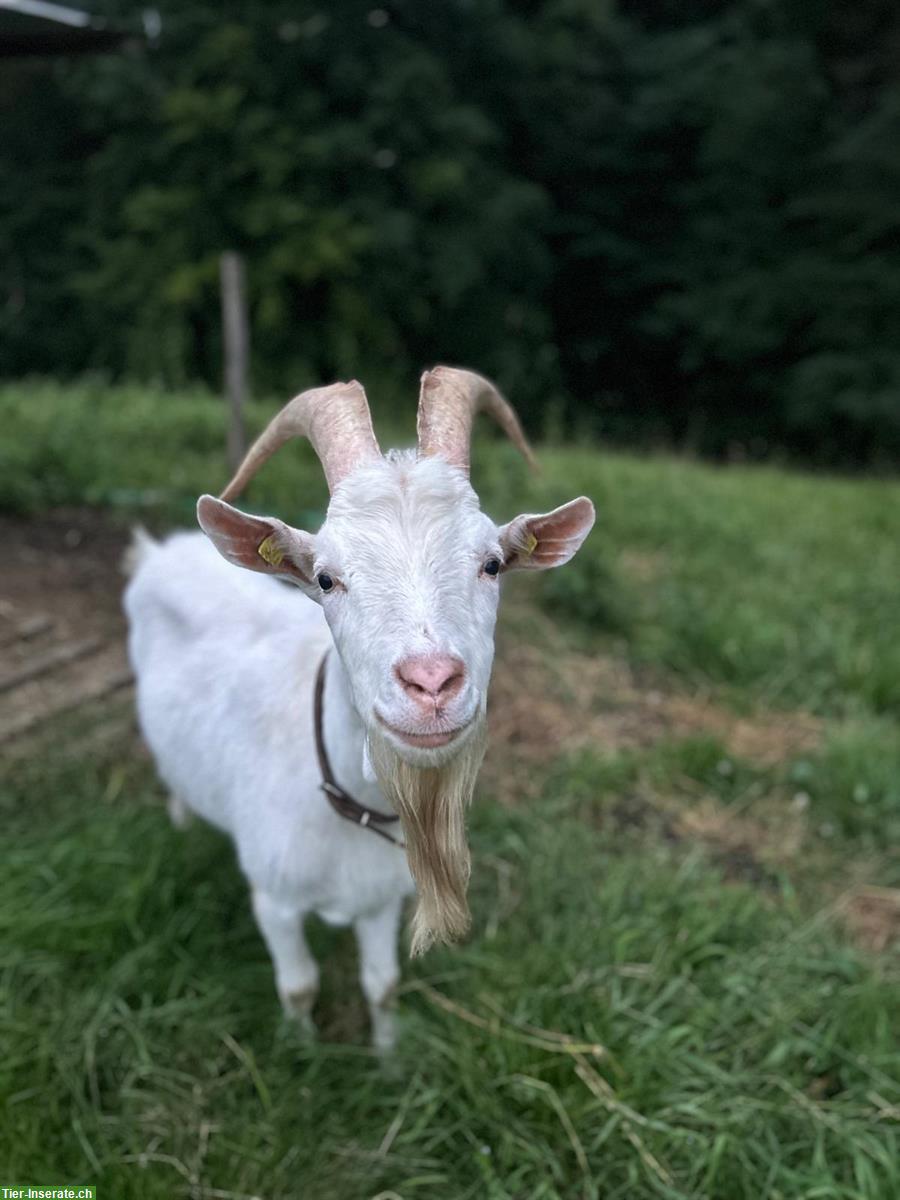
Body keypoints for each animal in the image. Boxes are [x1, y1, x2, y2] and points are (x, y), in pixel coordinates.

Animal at [125, 367, 592, 1051]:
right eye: (325, 578)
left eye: (493, 564)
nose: (432, 683)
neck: (349, 802)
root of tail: (159, 551)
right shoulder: (274, 900)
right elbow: (298, 987)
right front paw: (300, 1053)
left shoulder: (381, 902)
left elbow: (383, 986)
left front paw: (389, 1058)